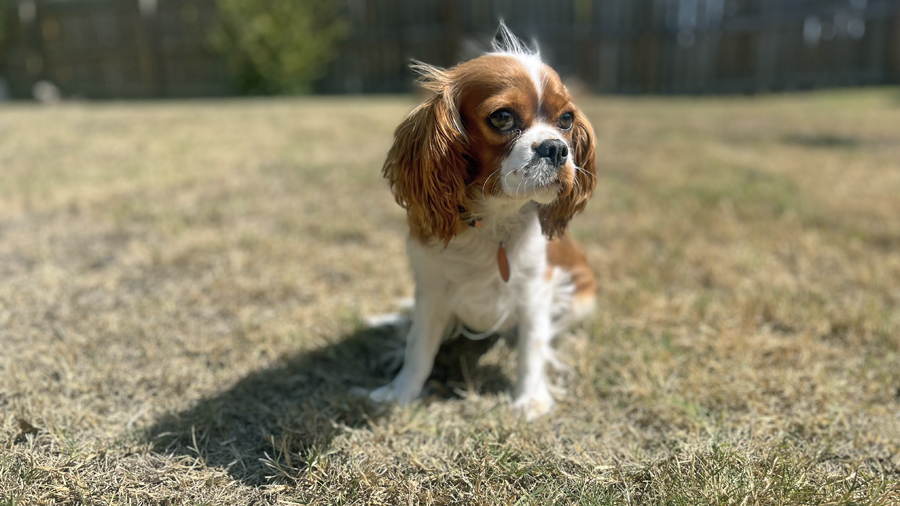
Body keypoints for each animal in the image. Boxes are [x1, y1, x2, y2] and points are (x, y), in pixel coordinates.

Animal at [372, 22, 596, 420]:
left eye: (566, 120)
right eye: (502, 117)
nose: (556, 148)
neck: (494, 218)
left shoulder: (537, 289)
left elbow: (532, 347)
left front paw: (530, 399)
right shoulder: (431, 291)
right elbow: (419, 347)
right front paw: (400, 393)